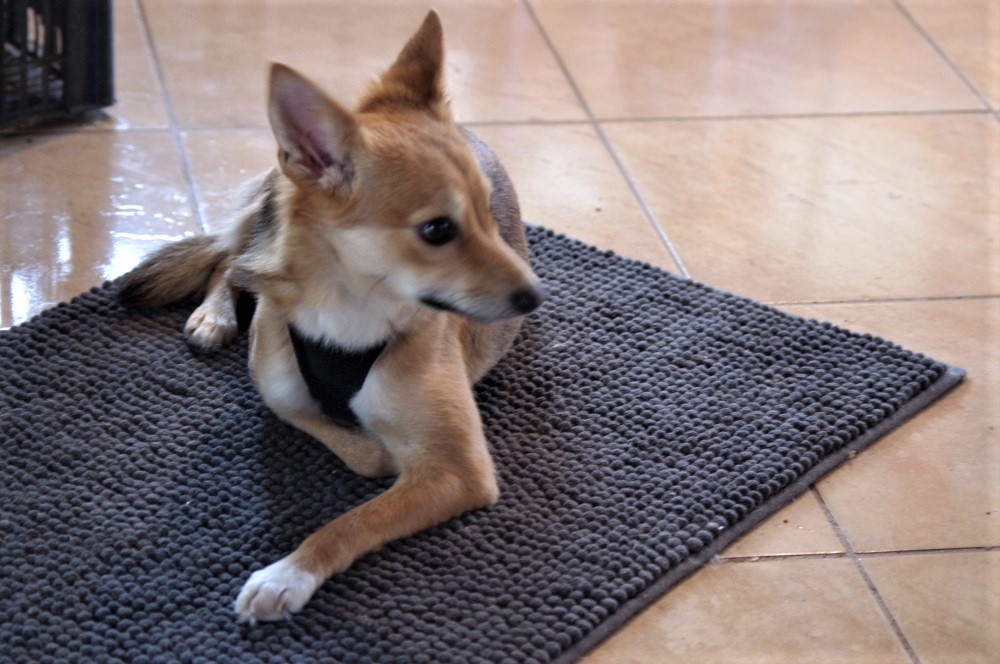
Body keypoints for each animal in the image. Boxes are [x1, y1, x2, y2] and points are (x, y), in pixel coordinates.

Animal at [118, 10, 542, 622]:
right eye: (438, 230)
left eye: (490, 214)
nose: (536, 294)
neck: (349, 310)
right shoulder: (279, 389)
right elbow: (350, 447)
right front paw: (374, 450)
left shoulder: (462, 469)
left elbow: (354, 518)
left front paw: (288, 574)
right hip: (266, 217)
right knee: (232, 257)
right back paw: (215, 314)